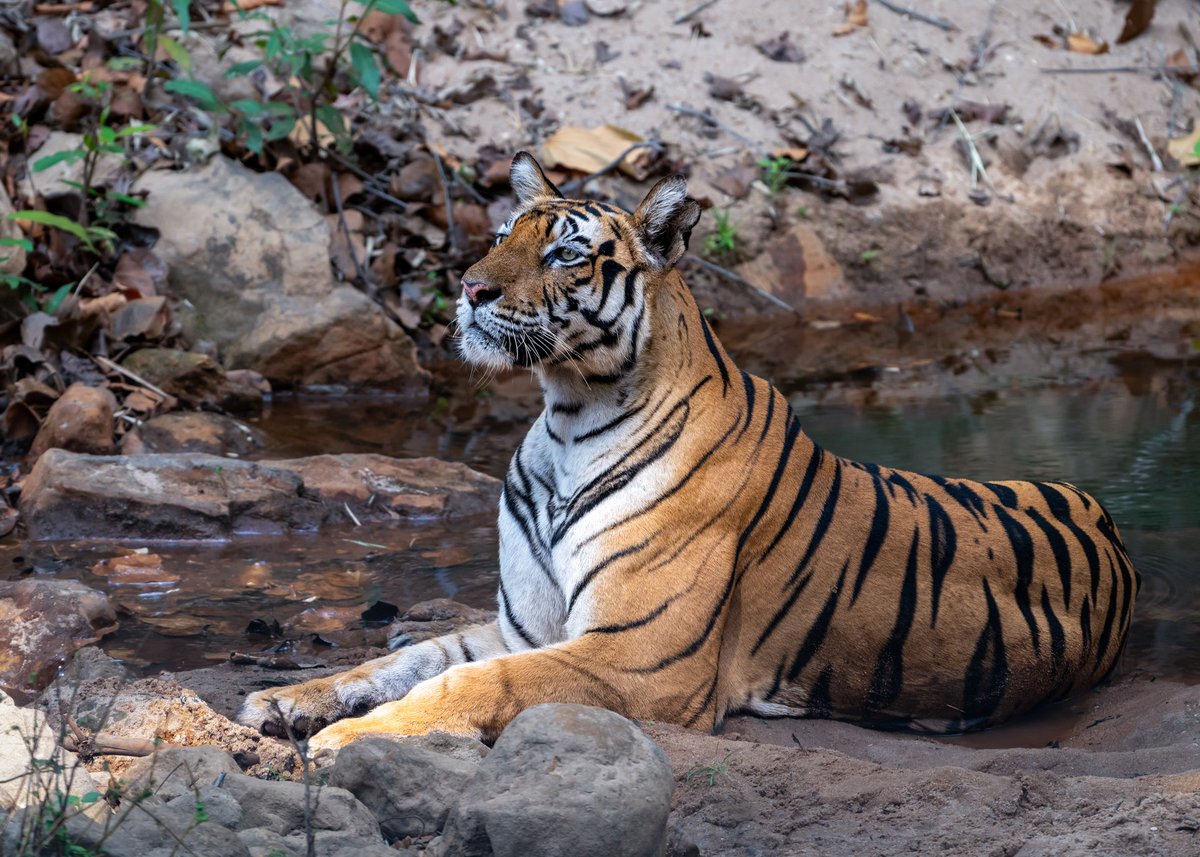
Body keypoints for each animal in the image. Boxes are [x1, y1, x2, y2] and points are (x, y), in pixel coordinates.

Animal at [238, 152, 1140, 751]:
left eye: (564, 253)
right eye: (498, 236)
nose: (468, 288)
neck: (567, 415)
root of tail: (1111, 529)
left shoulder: (638, 654)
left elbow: (476, 677)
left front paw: (358, 736)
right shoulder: (527, 623)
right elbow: (407, 656)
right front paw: (286, 699)